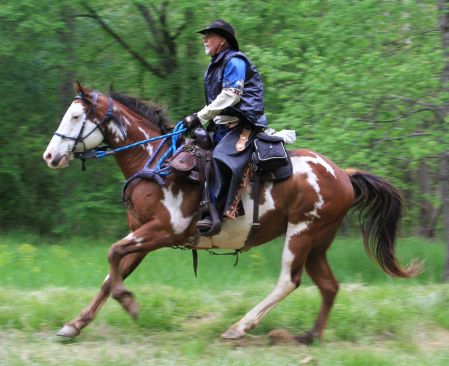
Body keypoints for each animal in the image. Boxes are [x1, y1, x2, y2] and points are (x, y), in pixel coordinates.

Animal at [43, 82, 420, 344]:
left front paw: (129, 303)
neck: (156, 163)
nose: (50, 156)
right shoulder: (143, 238)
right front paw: (74, 325)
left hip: (301, 234)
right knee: (328, 286)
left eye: (75, 117)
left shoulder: (161, 231)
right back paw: (309, 337)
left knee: (289, 281)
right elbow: (111, 275)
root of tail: (343, 175)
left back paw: (240, 327)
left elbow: (112, 255)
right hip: (318, 242)